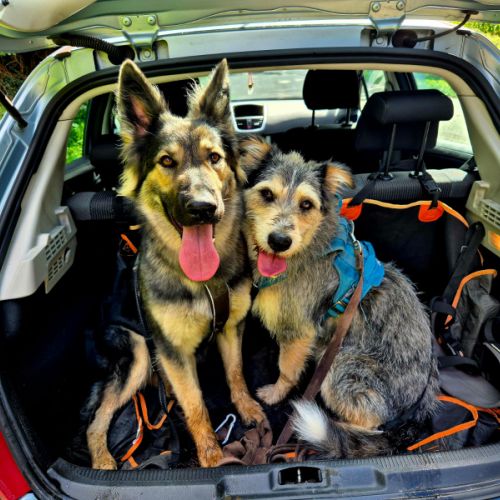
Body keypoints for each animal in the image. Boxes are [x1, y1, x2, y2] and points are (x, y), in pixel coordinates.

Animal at [85, 59, 265, 469]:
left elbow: (235, 372)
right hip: (137, 354)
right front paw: (211, 455)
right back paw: (103, 460)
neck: (203, 282)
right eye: (167, 162)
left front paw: (247, 407)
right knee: (96, 420)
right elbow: (196, 403)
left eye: (214, 158)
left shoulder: (231, 328)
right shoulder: (173, 352)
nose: (203, 209)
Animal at [240, 136, 439, 457]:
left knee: (372, 425)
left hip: (342, 366)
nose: (279, 241)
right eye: (267, 194)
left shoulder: (299, 332)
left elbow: (287, 370)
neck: (307, 250)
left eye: (306, 204)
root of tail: (419, 410)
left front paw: (274, 394)